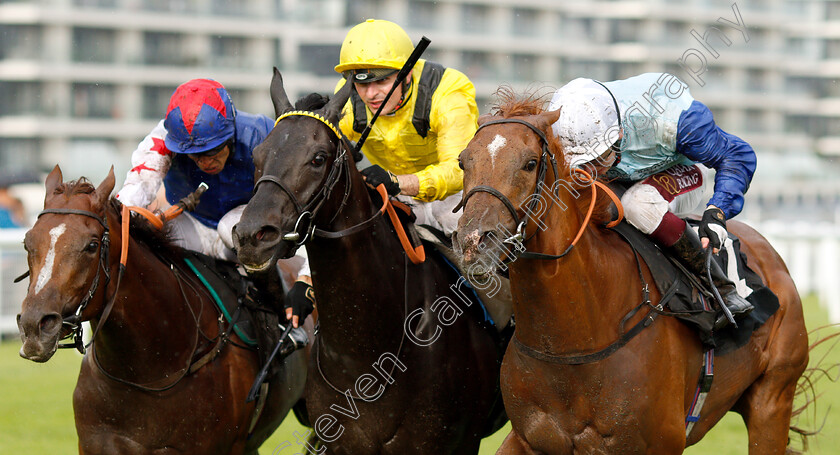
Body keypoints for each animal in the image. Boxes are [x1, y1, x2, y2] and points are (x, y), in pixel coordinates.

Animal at [456, 91, 812, 454]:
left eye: (529, 163)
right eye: (463, 162)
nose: (473, 241)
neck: (571, 346)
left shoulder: (660, 442)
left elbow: (735, 153)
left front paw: (713, 224)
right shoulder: (527, 439)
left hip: (772, 400)